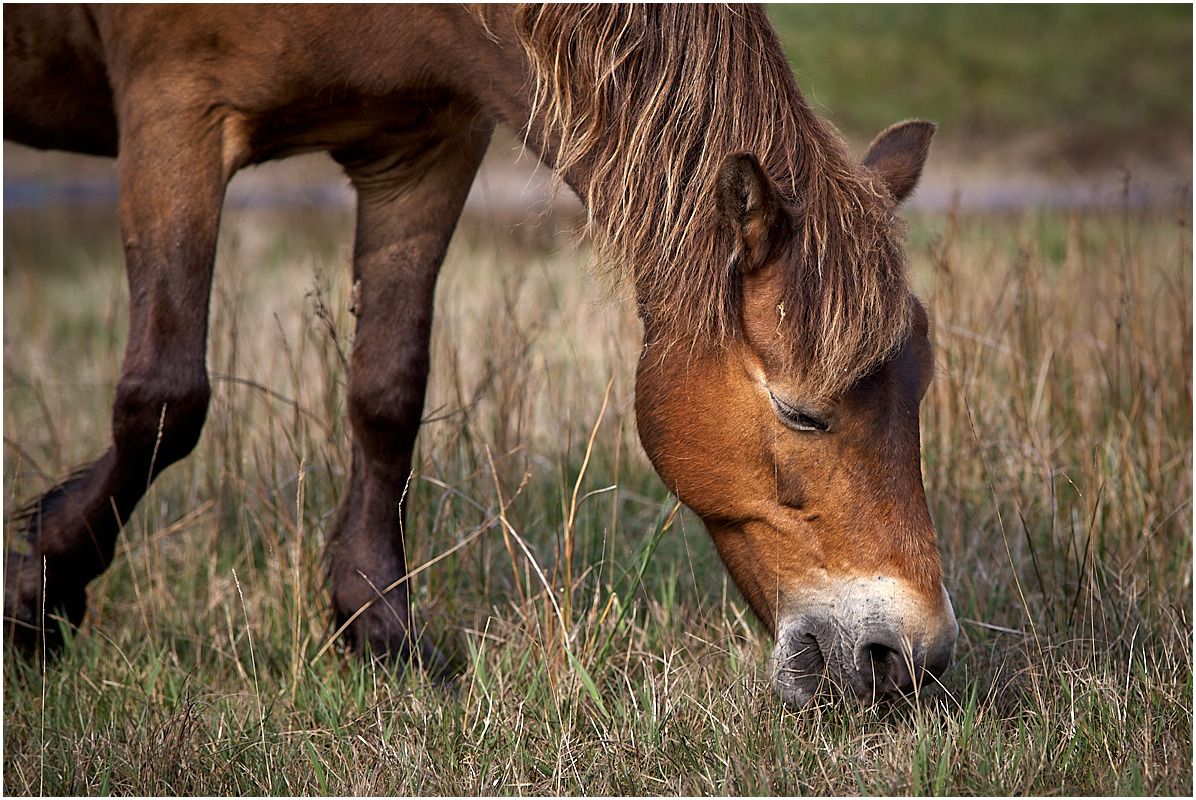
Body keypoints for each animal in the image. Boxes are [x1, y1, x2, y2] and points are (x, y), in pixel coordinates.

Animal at [0, 4, 952, 703]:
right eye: (799, 412)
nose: (908, 658)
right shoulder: (174, 113)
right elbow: (165, 396)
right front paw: (39, 593)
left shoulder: (423, 149)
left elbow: (388, 391)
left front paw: (379, 629)